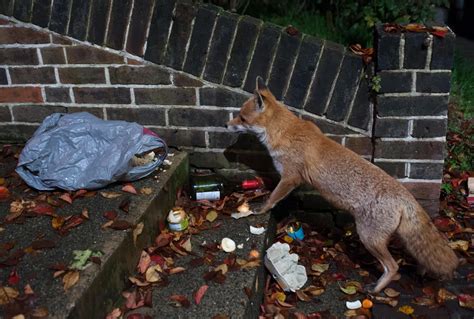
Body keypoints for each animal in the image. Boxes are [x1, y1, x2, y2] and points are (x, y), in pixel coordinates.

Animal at [227, 76, 460, 294]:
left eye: (242, 117)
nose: (226, 125)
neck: (285, 132)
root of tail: (406, 196)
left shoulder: (290, 177)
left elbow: (273, 197)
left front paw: (260, 209)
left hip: (368, 237)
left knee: (394, 268)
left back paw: (376, 289)